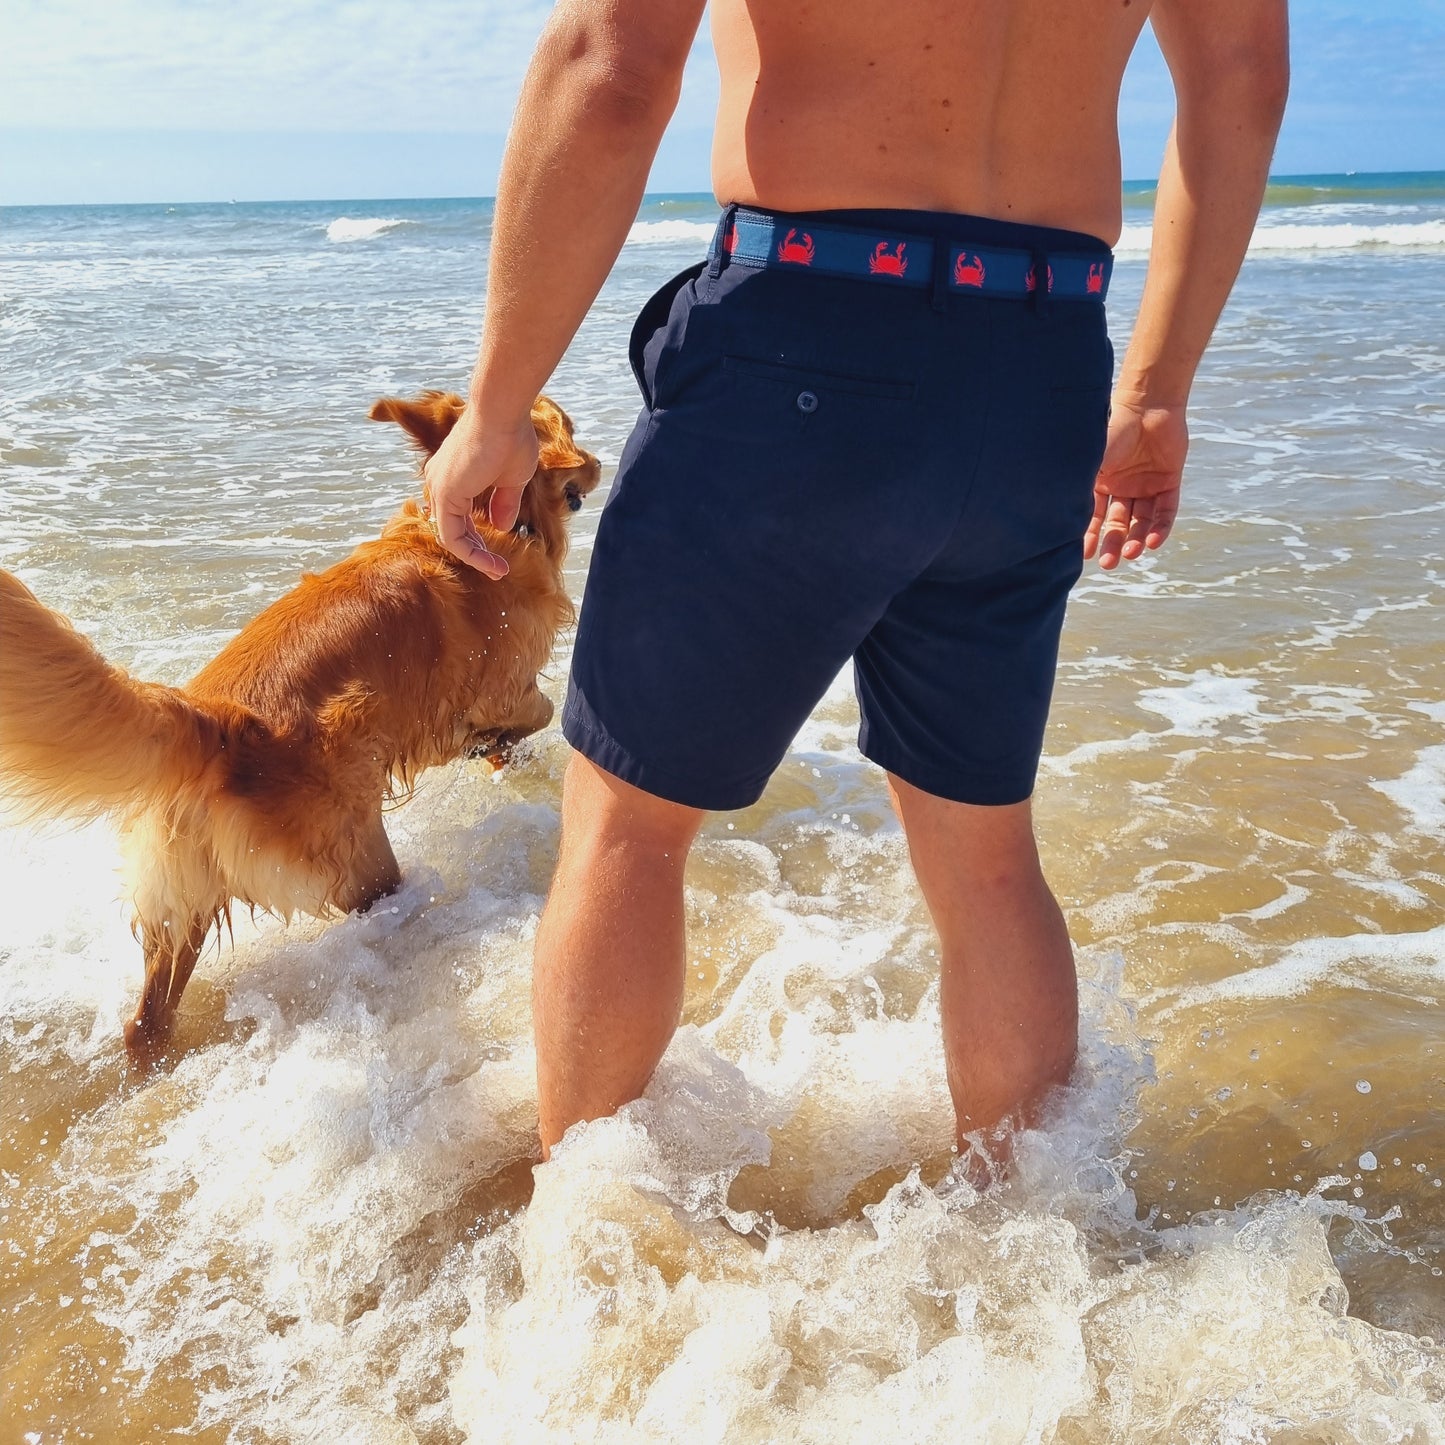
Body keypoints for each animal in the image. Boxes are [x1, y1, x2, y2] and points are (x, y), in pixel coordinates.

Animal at [0, 395, 598, 1063]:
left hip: (183, 897)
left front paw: (497, 756)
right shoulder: (501, 686)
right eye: (569, 427)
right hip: (359, 854)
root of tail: (215, 722)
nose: (598, 463)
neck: (478, 520)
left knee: (148, 1018)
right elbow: (534, 713)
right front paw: (497, 746)